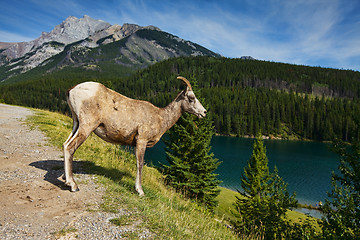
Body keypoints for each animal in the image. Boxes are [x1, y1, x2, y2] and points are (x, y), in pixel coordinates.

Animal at [63, 76, 207, 195]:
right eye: (191, 98)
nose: (204, 112)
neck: (161, 118)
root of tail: (71, 90)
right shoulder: (141, 140)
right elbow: (140, 164)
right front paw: (140, 191)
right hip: (87, 126)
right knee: (70, 147)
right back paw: (73, 186)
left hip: (76, 123)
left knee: (65, 144)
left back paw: (66, 180)